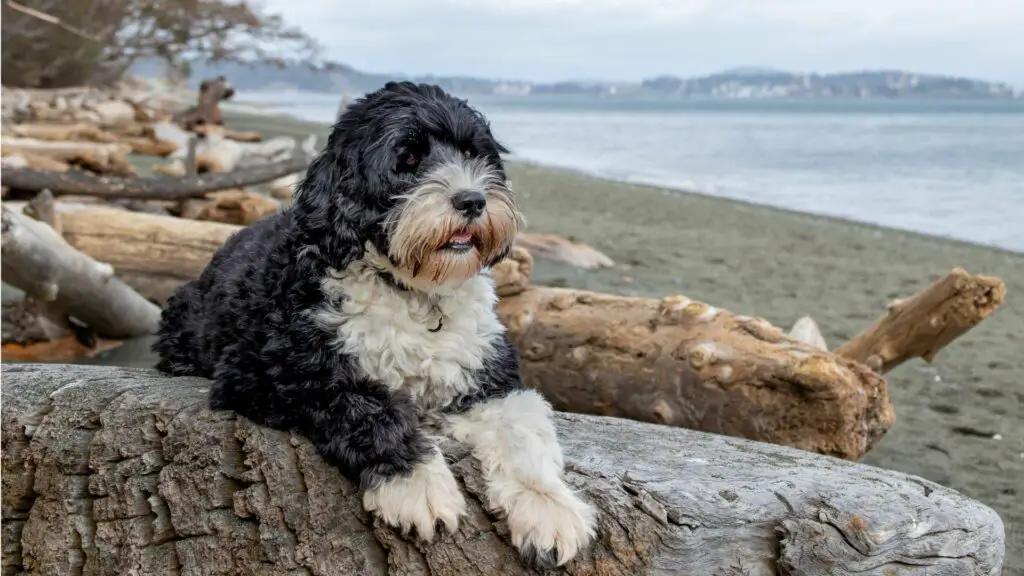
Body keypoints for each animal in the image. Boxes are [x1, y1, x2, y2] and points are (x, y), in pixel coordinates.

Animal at [153, 80, 598, 565]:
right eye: (408, 159)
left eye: (474, 154)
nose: (473, 200)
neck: (413, 291)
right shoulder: (268, 368)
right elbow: (368, 405)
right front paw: (418, 485)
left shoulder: (488, 378)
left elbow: (524, 428)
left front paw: (548, 507)